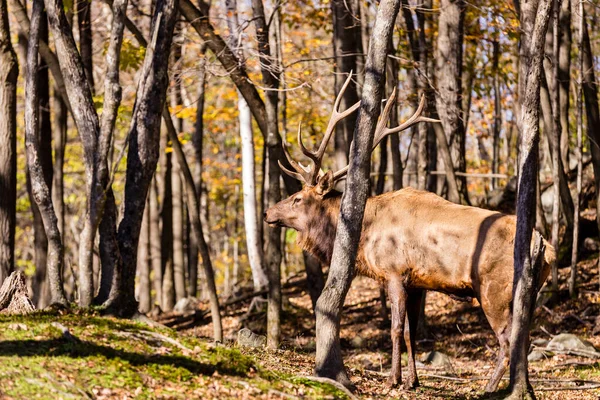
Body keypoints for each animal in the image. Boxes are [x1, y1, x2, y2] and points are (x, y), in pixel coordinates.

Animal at [264, 74, 556, 390]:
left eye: (297, 198)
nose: (268, 213)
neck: (366, 236)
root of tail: (545, 246)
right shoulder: (418, 284)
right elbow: (411, 333)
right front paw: (412, 381)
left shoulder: (394, 272)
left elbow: (394, 330)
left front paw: (393, 380)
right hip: (530, 289)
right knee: (524, 337)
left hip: (495, 288)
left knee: (507, 339)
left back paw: (489, 389)